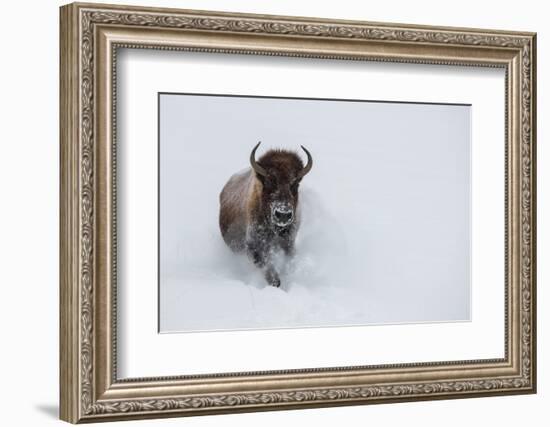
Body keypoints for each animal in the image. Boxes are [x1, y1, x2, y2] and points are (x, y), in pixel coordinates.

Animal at [220, 143, 314, 288]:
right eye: (270, 181)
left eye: (295, 183)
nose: (283, 215)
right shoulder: (254, 247)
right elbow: (268, 268)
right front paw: (276, 283)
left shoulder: (289, 242)